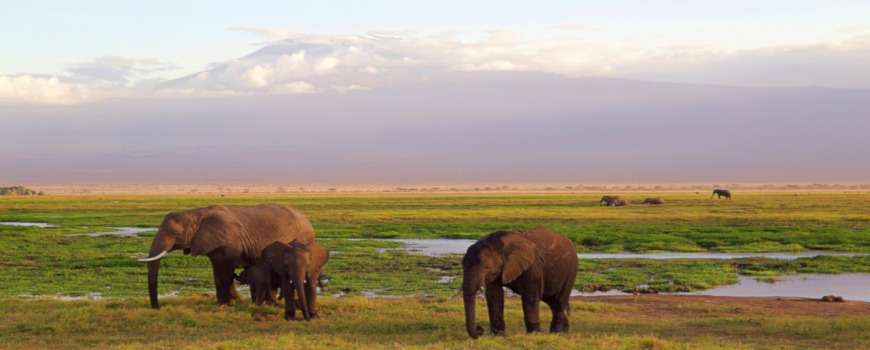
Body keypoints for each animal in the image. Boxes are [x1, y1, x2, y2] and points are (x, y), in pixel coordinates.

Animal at [141, 205, 318, 308]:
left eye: (174, 233)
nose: (157, 308)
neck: (196, 213)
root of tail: (308, 220)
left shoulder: (227, 241)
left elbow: (224, 272)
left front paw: (223, 305)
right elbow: (219, 272)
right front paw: (232, 302)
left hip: (302, 239)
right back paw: (269, 303)